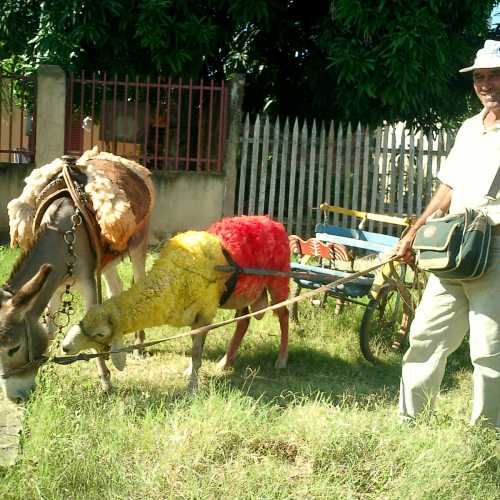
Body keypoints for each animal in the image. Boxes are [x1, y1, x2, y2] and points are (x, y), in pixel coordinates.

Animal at [62, 215, 290, 390]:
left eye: (100, 334)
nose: (65, 347)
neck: (171, 278)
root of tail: (273, 222)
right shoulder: (195, 316)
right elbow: (196, 346)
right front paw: (191, 371)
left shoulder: (205, 313)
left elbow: (197, 351)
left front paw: (192, 386)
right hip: (244, 291)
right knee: (244, 321)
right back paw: (225, 363)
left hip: (278, 281)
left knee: (283, 315)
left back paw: (281, 360)